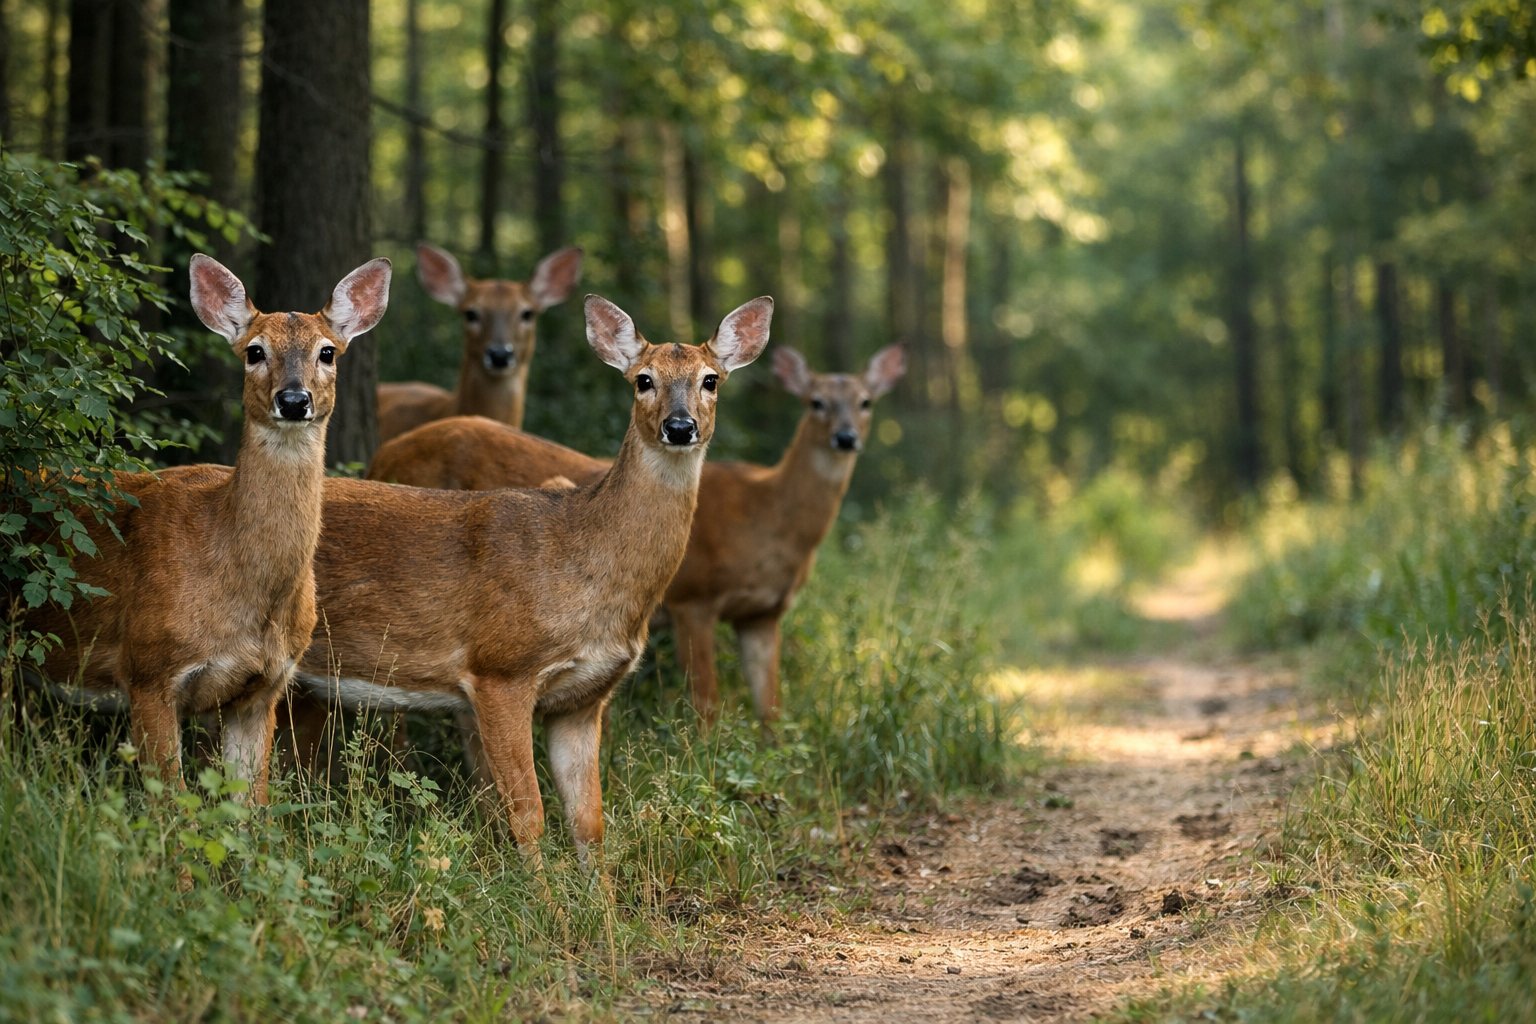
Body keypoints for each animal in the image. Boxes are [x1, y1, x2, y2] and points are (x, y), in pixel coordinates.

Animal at [23, 254, 392, 801]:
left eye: (327, 351)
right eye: (254, 351)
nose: (294, 400)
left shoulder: (263, 689)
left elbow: (251, 808)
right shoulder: (147, 671)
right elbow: (170, 807)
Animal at [290, 294, 772, 857]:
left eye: (711, 379)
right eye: (643, 380)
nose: (679, 426)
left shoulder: (584, 699)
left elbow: (589, 823)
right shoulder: (500, 670)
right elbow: (529, 816)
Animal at [367, 343, 906, 726]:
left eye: (866, 402)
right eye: (816, 402)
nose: (845, 438)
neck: (768, 521)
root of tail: (381, 455)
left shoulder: (763, 614)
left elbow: (771, 708)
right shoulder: (694, 598)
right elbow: (706, 705)